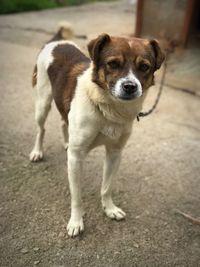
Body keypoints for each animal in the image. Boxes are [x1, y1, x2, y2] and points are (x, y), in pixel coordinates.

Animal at [29, 24, 164, 238]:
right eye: (113, 64)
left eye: (144, 67)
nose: (130, 86)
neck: (109, 109)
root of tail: (56, 41)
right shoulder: (76, 158)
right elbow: (77, 196)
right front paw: (76, 222)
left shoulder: (114, 153)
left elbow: (107, 187)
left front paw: (110, 209)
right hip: (42, 103)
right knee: (40, 129)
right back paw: (37, 152)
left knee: (63, 122)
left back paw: (65, 142)